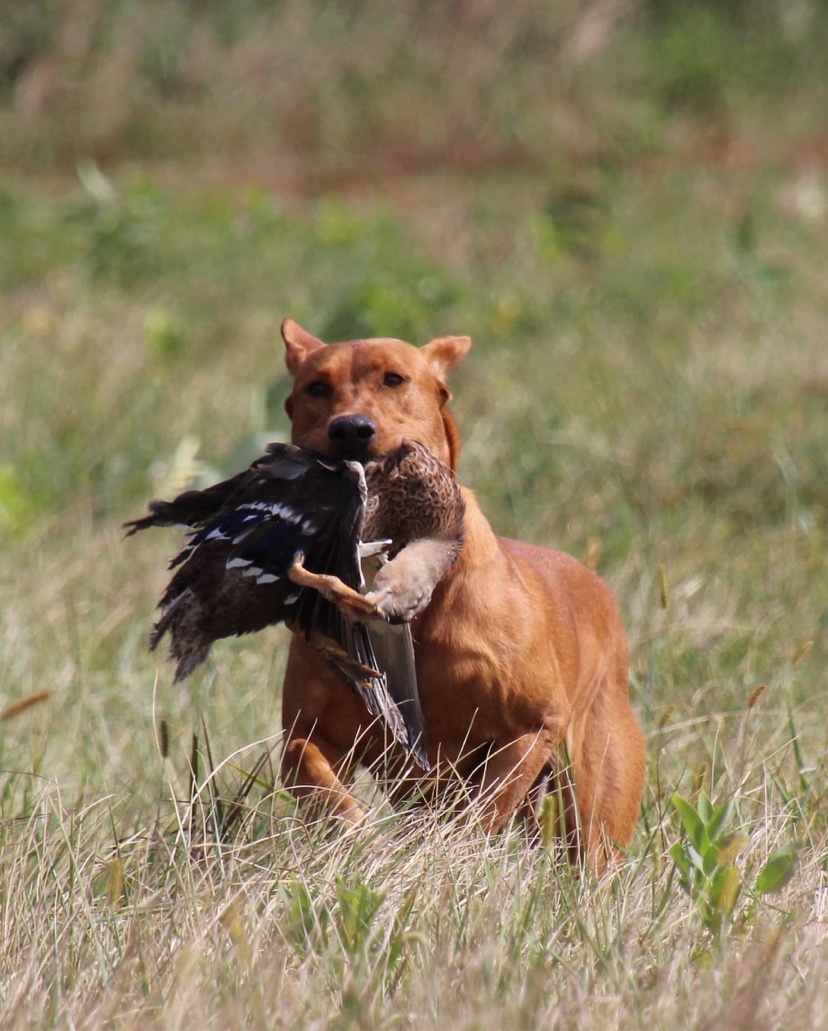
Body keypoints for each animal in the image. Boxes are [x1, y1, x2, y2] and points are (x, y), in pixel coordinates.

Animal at [274, 315, 643, 861]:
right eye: (315, 388)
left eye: (395, 379)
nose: (351, 429)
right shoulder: (312, 734)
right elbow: (317, 777)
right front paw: (358, 837)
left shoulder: (531, 728)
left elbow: (482, 815)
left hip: (594, 806)